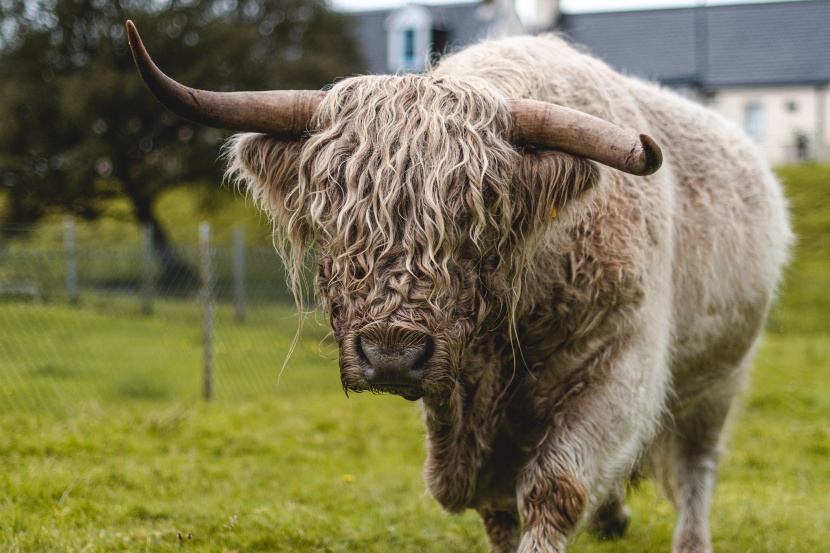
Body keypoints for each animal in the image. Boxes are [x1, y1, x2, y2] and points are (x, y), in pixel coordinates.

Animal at [125, 21, 792, 552]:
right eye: (336, 220)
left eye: (478, 221)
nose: (392, 354)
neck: (505, 340)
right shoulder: (466, 417)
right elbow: (494, 508)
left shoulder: (620, 364)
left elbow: (554, 489)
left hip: (721, 376)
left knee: (697, 465)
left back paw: (691, 540)